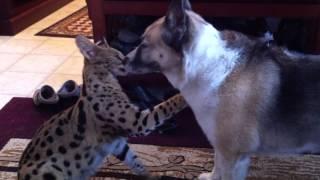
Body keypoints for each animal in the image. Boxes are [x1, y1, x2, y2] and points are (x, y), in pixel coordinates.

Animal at [124, 0, 320, 179]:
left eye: (144, 44)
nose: (123, 60)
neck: (207, 66)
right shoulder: (224, 150)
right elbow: (216, 167)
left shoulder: (231, 154)